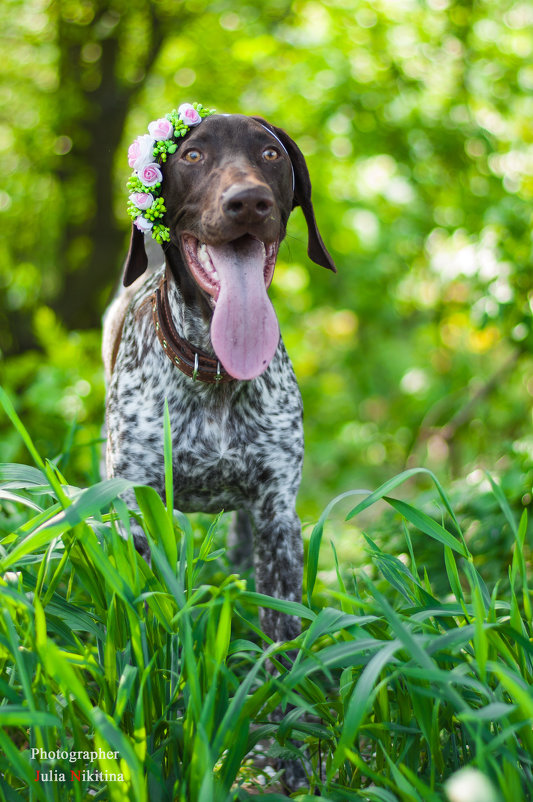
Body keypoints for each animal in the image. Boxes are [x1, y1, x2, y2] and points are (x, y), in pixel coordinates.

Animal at [102, 108, 334, 644]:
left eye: (269, 154)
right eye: (192, 155)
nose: (248, 201)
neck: (214, 369)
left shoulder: (277, 514)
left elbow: (283, 631)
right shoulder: (136, 514)